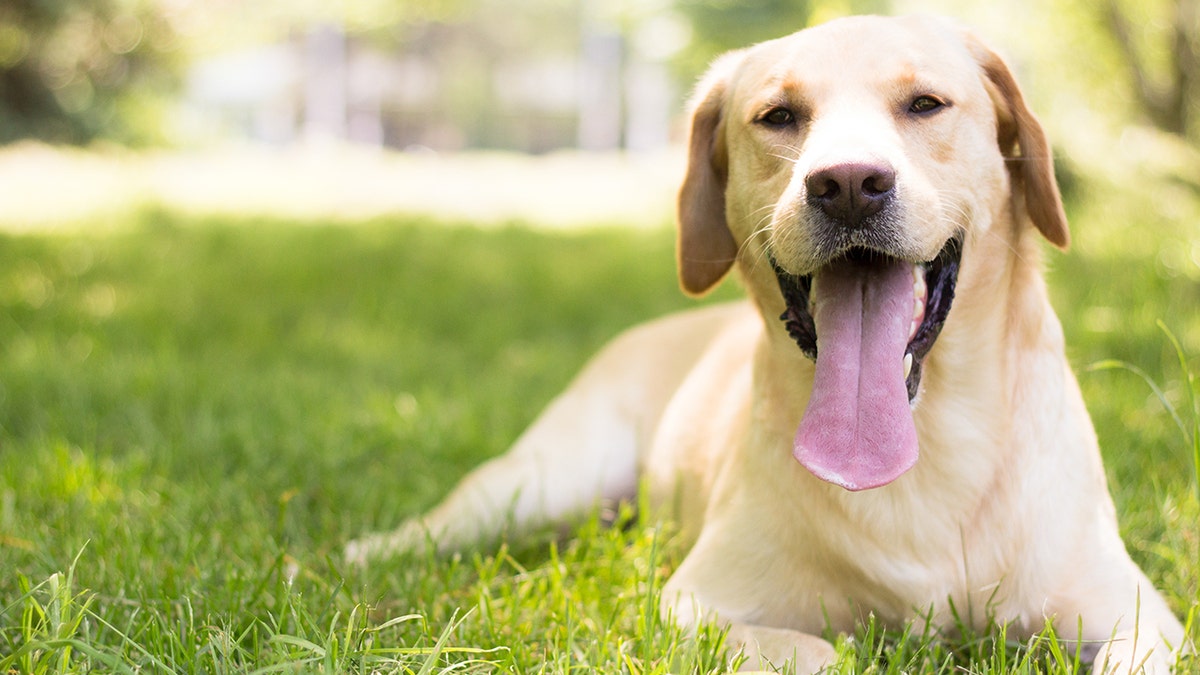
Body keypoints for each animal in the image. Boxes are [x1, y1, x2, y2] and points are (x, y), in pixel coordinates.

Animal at [350, 15, 1190, 672]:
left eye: (925, 104)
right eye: (778, 116)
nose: (848, 183)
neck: (924, 448)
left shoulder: (1138, 616)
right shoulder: (692, 602)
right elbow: (819, 649)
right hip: (543, 478)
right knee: (440, 526)